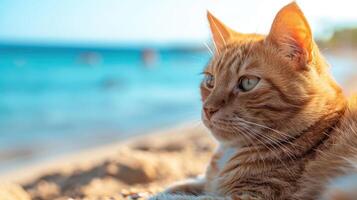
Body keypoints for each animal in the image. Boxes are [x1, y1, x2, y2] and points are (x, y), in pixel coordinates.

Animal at [149, 1, 356, 200]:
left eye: (248, 83)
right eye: (210, 81)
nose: (208, 109)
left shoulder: (254, 195)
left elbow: (174, 197)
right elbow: (177, 187)